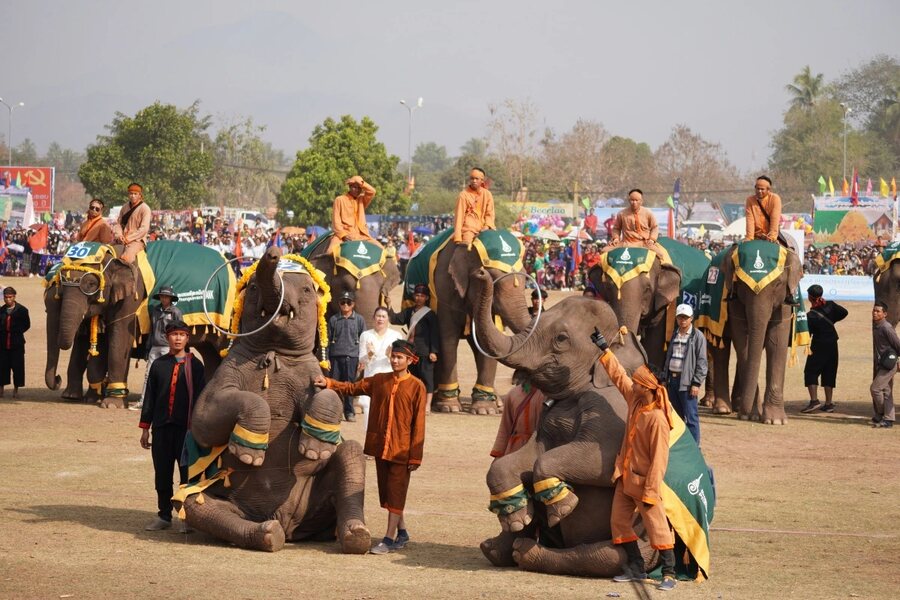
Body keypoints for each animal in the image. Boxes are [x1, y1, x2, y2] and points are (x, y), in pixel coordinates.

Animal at [174, 245, 370, 552]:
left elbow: (328, 394)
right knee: (194, 502)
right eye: (253, 287)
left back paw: (356, 535)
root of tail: (288, 525)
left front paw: (315, 451)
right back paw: (268, 533)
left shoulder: (309, 371)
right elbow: (203, 423)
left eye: (306, 289)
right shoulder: (227, 371)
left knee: (350, 451)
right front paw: (249, 454)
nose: (274, 251)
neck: (273, 353)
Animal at [468, 268, 656, 576]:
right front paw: (519, 517)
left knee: (609, 556)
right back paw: (498, 546)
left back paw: (525, 552)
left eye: (561, 338)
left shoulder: (613, 410)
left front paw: (564, 507)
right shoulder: (548, 418)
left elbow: (602, 464)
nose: (481, 272)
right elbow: (523, 457)